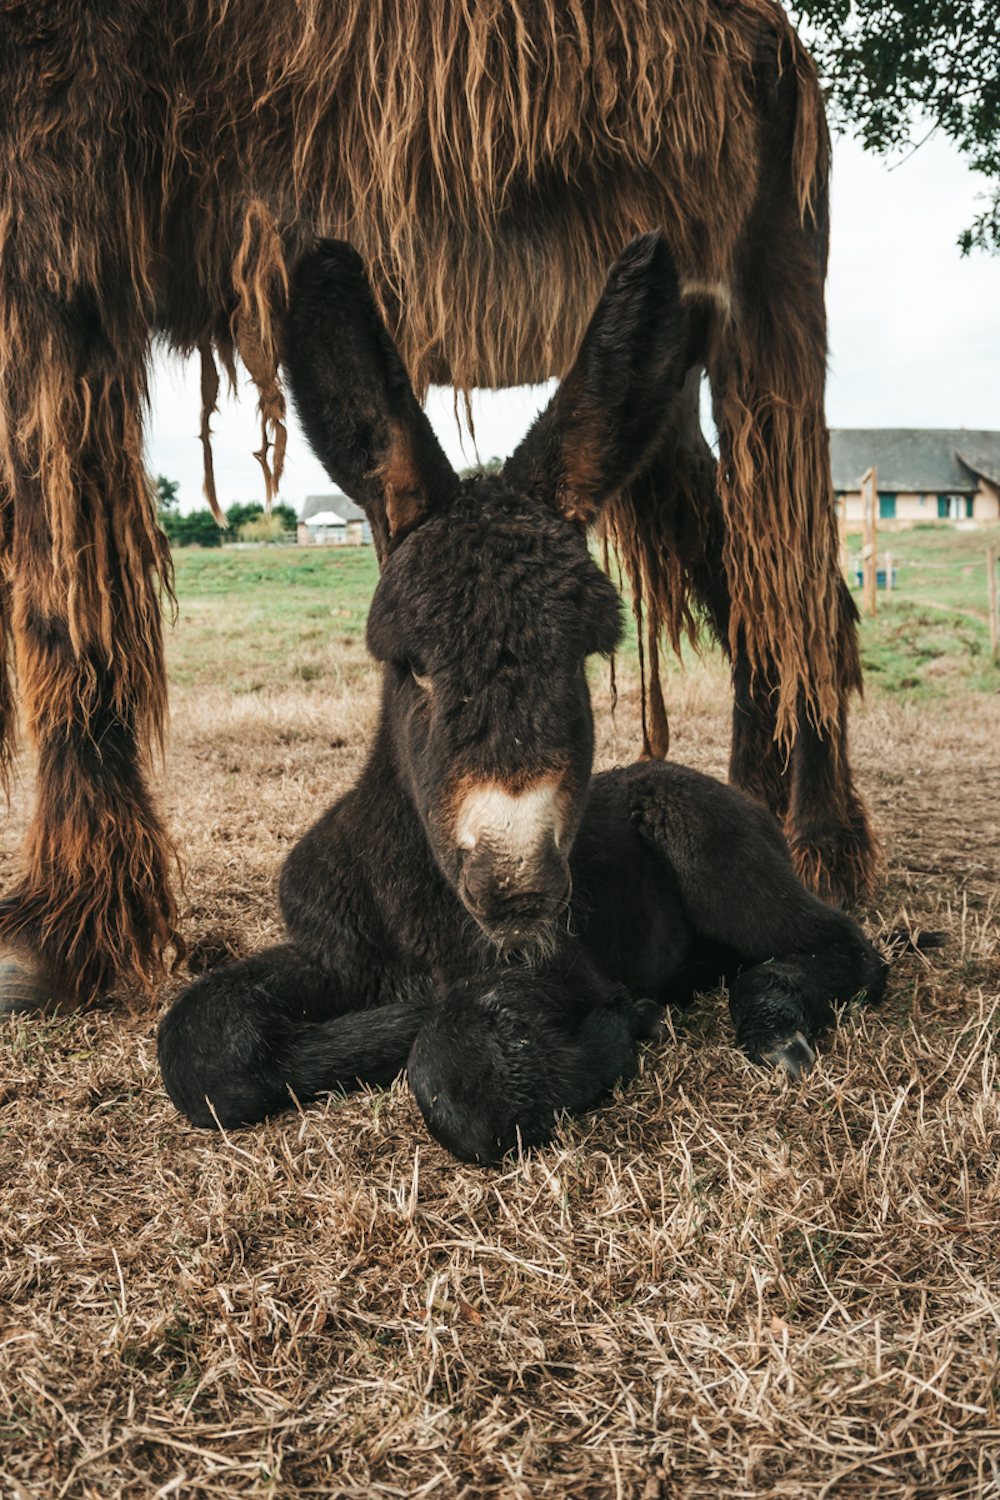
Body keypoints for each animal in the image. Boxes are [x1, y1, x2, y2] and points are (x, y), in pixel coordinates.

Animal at [158, 237, 881, 1158]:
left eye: (581, 660)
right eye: (415, 668)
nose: (518, 886)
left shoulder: (553, 969)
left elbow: (462, 1071)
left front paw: (613, 1024)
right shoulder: (324, 947)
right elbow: (199, 1042)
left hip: (711, 845)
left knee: (843, 944)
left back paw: (772, 1019)